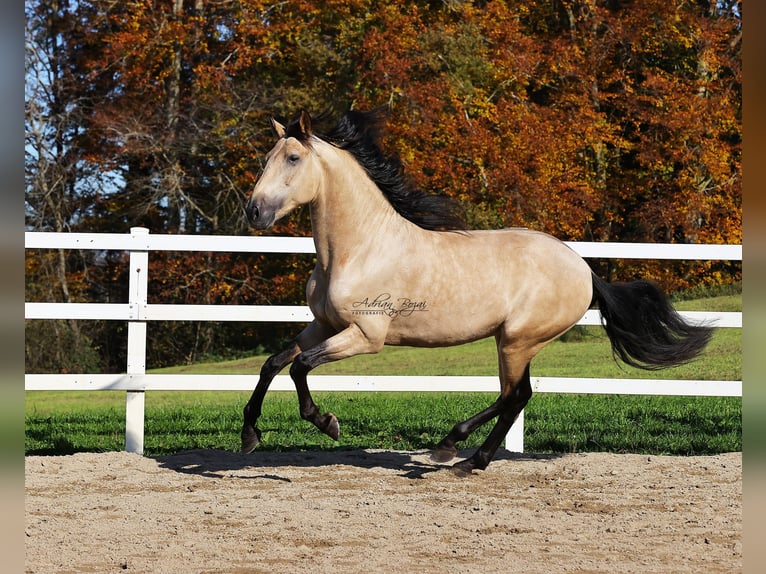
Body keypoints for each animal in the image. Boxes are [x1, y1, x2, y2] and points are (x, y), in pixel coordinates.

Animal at [242, 108, 712, 476]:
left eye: (293, 158)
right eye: (266, 158)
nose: (254, 211)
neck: (359, 249)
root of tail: (584, 269)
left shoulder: (365, 337)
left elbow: (300, 367)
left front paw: (326, 422)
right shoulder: (322, 325)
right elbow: (273, 364)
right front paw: (250, 434)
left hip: (518, 340)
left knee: (512, 395)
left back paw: (452, 448)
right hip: (516, 341)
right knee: (518, 397)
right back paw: (473, 459)